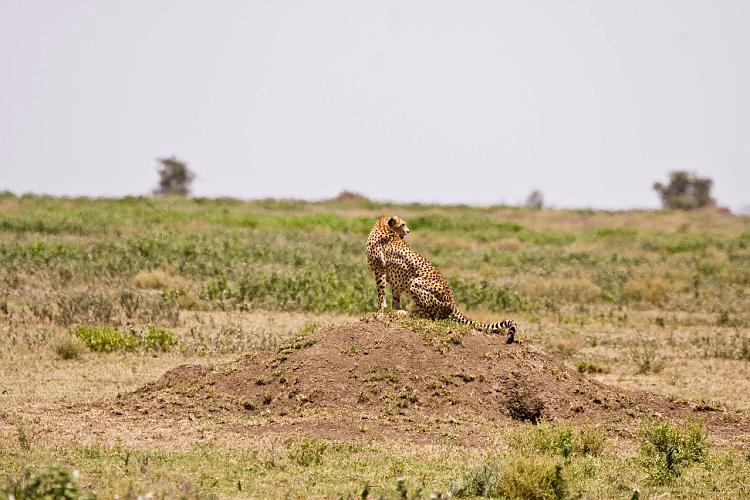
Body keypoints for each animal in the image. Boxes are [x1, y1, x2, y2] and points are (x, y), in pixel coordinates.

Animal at [368, 215, 520, 344]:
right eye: (403, 224)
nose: (408, 231)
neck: (383, 226)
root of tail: (453, 302)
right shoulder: (394, 278)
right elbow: (394, 298)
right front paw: (392, 310)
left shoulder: (380, 270)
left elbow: (381, 295)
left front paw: (380, 313)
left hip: (416, 283)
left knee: (430, 315)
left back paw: (409, 313)